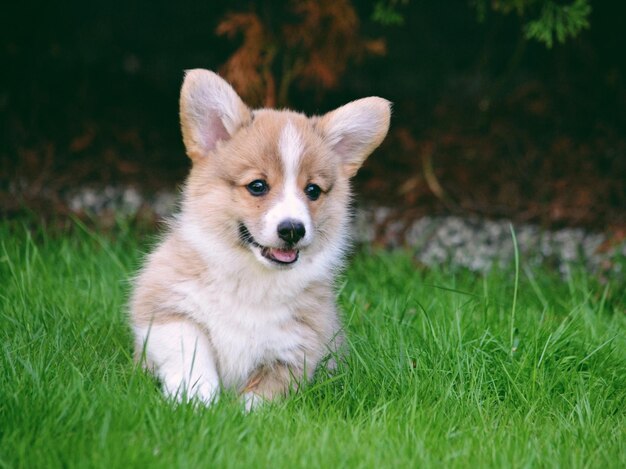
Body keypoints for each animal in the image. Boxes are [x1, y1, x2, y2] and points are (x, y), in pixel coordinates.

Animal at [129, 69, 388, 406]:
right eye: (257, 186)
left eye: (313, 190)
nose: (292, 230)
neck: (252, 280)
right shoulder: (166, 309)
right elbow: (191, 355)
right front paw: (197, 402)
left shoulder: (294, 349)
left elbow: (259, 399)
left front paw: (237, 413)